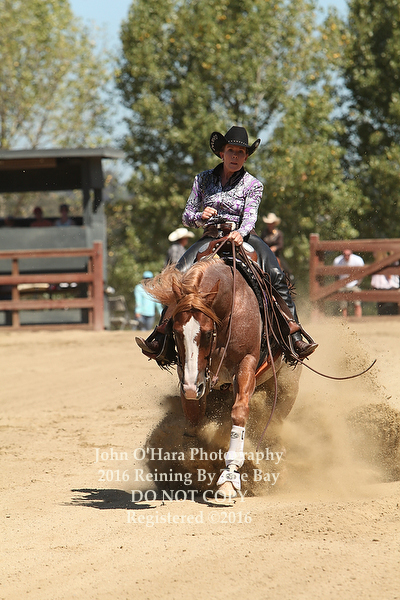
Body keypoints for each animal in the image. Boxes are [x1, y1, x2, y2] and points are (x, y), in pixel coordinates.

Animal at [143, 249, 302, 498]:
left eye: (208, 333)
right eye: (175, 332)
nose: (192, 387)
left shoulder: (246, 366)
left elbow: (238, 414)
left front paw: (229, 478)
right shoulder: (190, 377)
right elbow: (194, 417)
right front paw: (193, 463)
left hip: (285, 391)